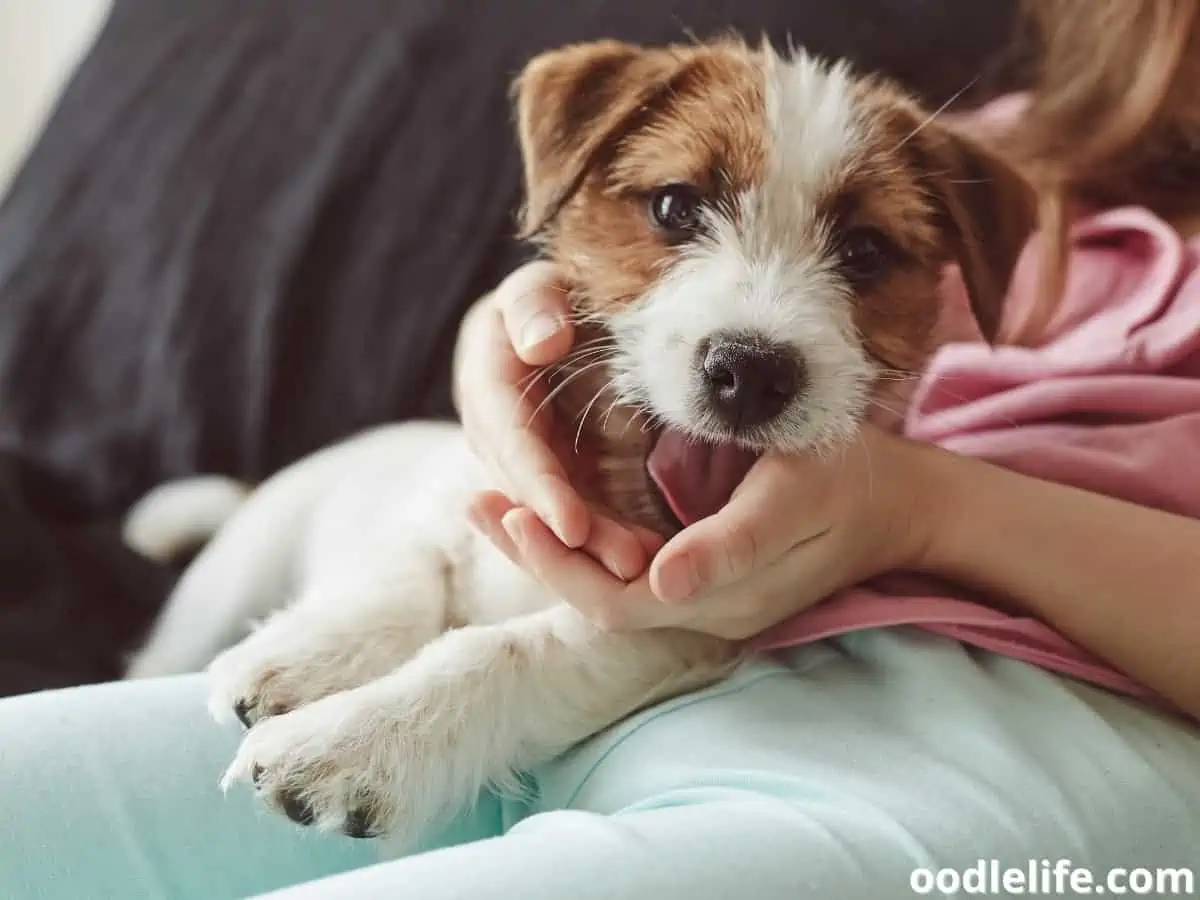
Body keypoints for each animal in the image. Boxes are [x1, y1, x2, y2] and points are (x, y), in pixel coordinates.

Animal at [126, 38, 1036, 844]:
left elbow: (507, 651)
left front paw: (356, 739)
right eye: (675, 207)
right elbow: (405, 576)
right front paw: (305, 657)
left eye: (865, 251)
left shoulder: (669, 628)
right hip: (217, 591)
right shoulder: (452, 504)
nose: (751, 371)